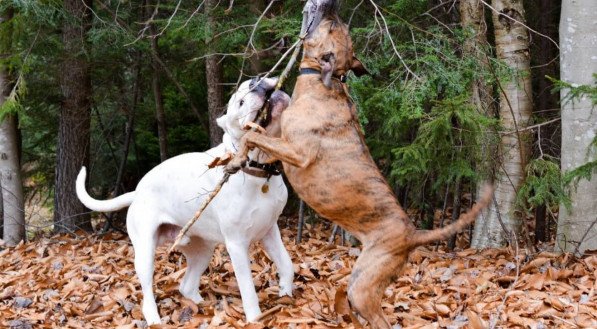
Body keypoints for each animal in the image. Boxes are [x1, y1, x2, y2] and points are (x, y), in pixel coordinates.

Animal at [78, 78, 292, 324]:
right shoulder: (237, 244)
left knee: (186, 285)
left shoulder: (270, 230)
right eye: (240, 102)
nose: (257, 83)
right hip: (146, 252)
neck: (257, 168)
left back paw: (204, 307)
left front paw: (287, 295)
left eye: (253, 82)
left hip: (203, 249)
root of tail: (137, 191)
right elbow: (248, 289)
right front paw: (256, 318)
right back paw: (155, 319)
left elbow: (287, 265)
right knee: (147, 293)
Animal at [226, 1, 492, 326]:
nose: (332, 4)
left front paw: (235, 160)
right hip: (361, 282)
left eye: (331, 26)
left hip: (364, 285)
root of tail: (413, 235)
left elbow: (254, 136)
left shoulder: (297, 151)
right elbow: (256, 137)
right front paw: (237, 158)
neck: (322, 82)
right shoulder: (280, 144)